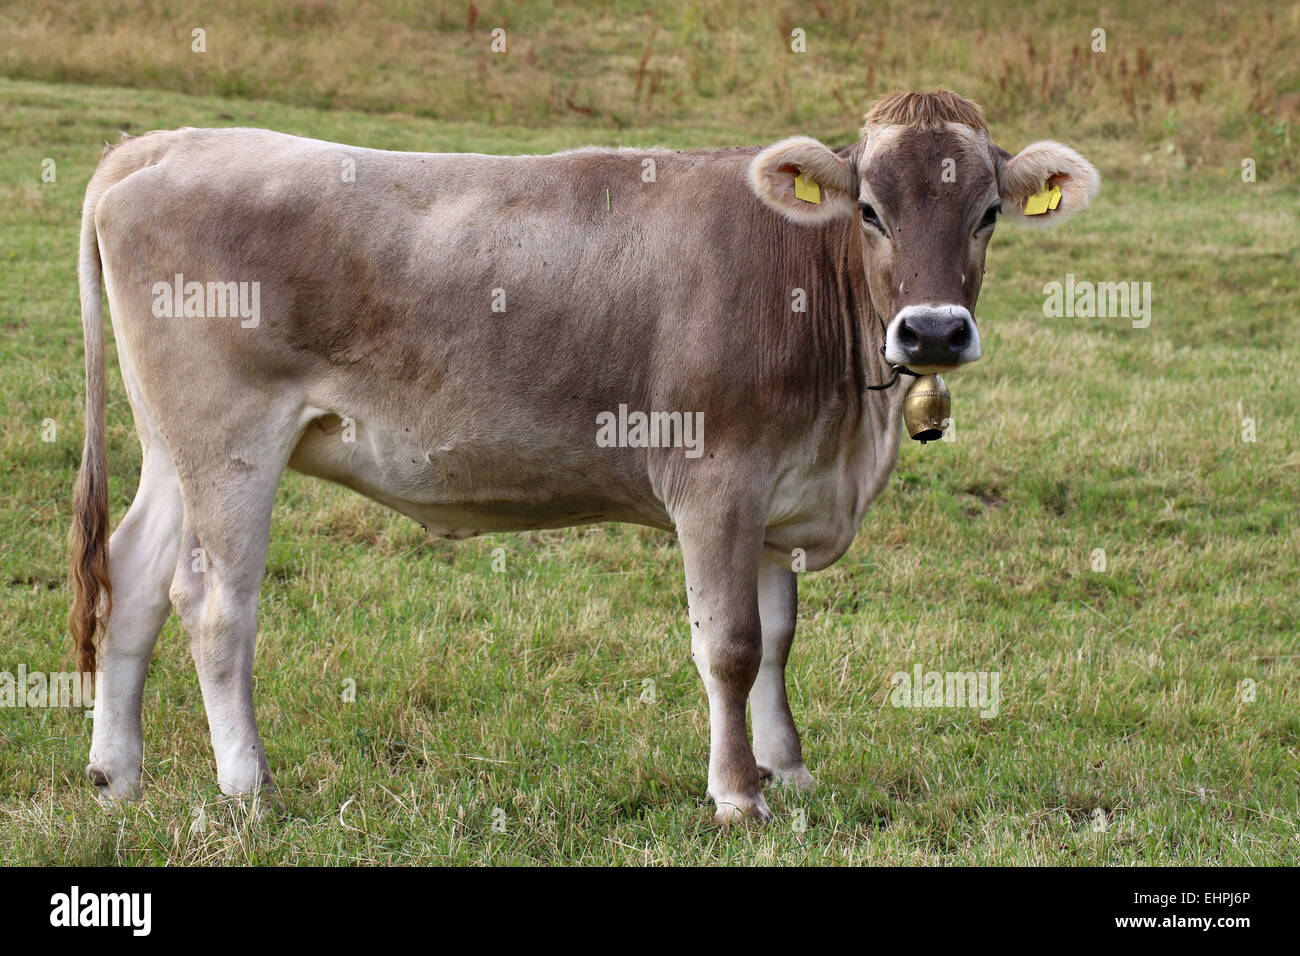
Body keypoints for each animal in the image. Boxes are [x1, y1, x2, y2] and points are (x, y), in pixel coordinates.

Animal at [65, 87, 1092, 822]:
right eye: (872, 210)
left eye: (988, 212)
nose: (933, 331)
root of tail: (165, 144)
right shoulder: (716, 481)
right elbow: (730, 645)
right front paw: (738, 795)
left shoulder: (777, 493)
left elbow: (779, 643)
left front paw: (789, 770)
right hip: (229, 439)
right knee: (213, 605)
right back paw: (248, 786)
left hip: (171, 445)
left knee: (132, 578)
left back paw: (117, 774)